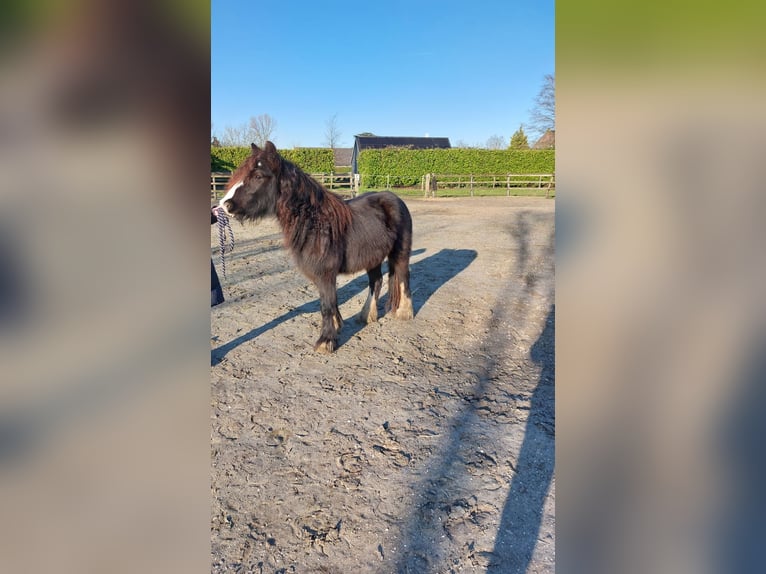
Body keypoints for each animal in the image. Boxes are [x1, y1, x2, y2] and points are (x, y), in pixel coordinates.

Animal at [219, 142, 414, 354]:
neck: (316, 223)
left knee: (403, 277)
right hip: (373, 258)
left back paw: (404, 313)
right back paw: (365, 316)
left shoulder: (326, 273)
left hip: (400, 253)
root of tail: (395, 198)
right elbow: (330, 302)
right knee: (376, 282)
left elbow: (326, 305)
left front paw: (325, 341)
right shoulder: (320, 274)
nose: (224, 205)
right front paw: (336, 327)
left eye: (258, 176)